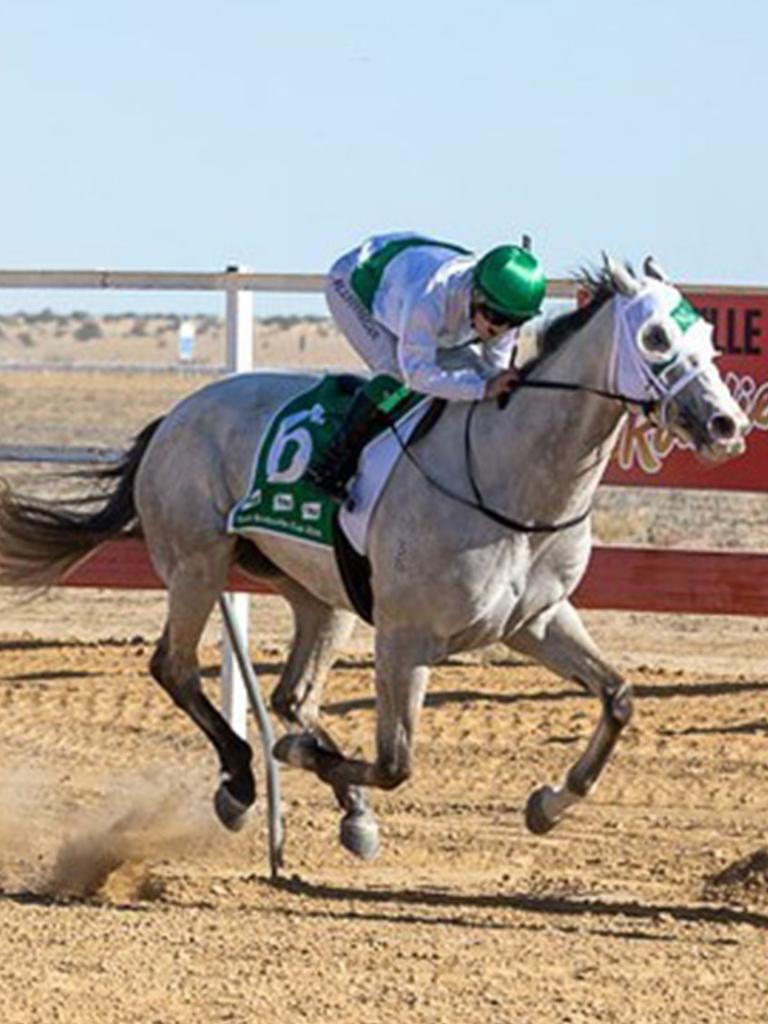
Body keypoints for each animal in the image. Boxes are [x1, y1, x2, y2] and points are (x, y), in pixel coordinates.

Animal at [0, 256, 749, 856]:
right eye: (655, 337)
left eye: (711, 338)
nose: (727, 424)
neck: (511, 478)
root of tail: (175, 416)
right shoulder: (405, 638)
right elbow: (396, 763)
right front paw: (301, 758)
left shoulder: (535, 620)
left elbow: (619, 697)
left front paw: (549, 802)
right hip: (197, 562)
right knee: (176, 667)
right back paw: (242, 780)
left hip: (317, 593)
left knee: (291, 692)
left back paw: (338, 800)